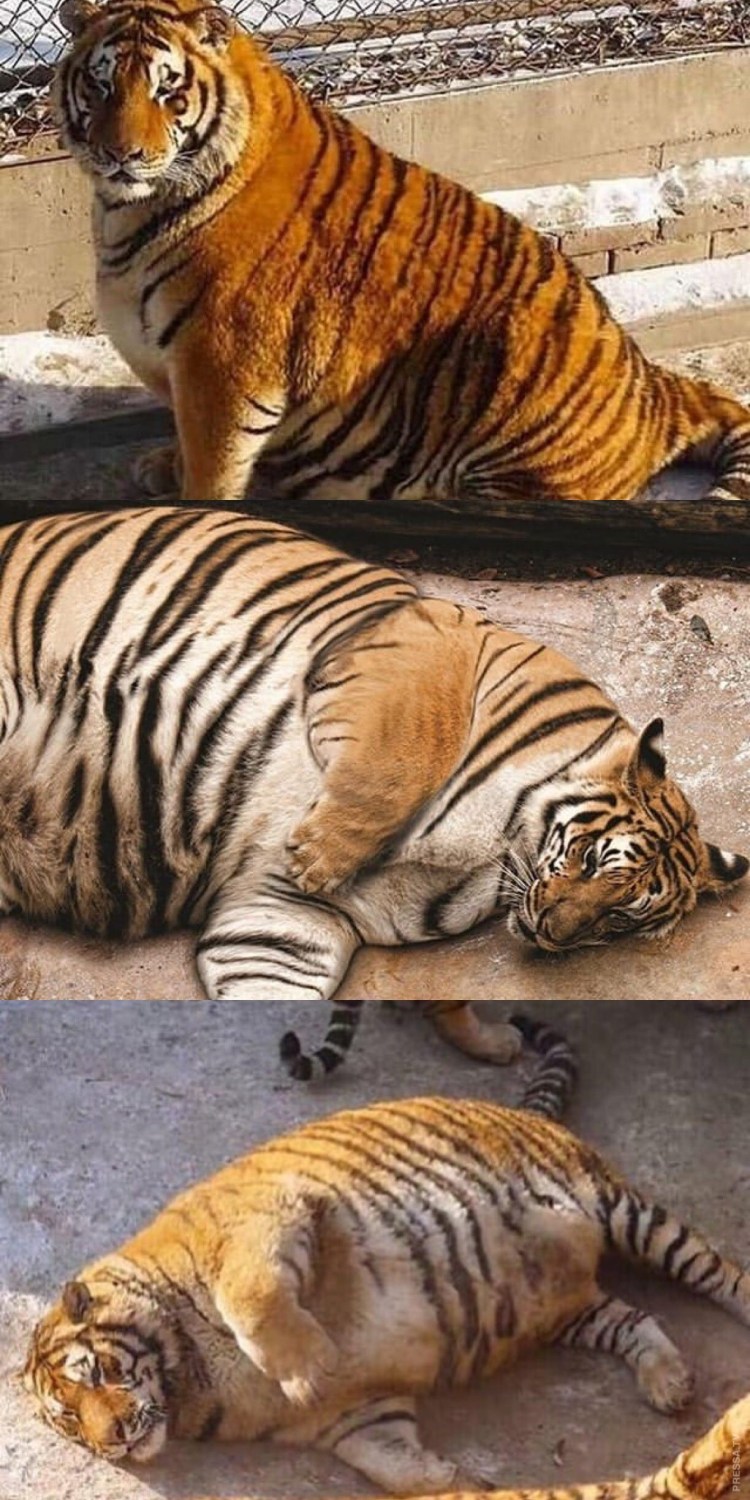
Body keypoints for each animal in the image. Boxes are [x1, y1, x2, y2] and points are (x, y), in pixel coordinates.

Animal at [0, 506, 746, 1003]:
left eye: (621, 917)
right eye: (592, 860)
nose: (555, 934)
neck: (504, 851)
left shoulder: (290, 918)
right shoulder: (423, 640)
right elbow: (405, 751)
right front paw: (320, 852)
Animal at [24, 1078, 750, 1493]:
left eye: (98, 1373)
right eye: (70, 1417)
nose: (114, 1441)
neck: (191, 1382)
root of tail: (515, 1107)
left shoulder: (268, 1221)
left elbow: (253, 1299)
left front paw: (310, 1366)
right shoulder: (354, 1418)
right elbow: (390, 1466)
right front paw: (448, 1476)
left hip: (624, 1211)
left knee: (719, 1273)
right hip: (572, 1311)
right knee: (634, 1319)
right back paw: (670, 1384)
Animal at [54, 0, 750, 513]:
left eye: (168, 94)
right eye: (101, 84)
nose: (121, 155)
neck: (127, 212)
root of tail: (655, 386)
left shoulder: (224, 363)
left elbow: (213, 464)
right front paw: (163, 465)